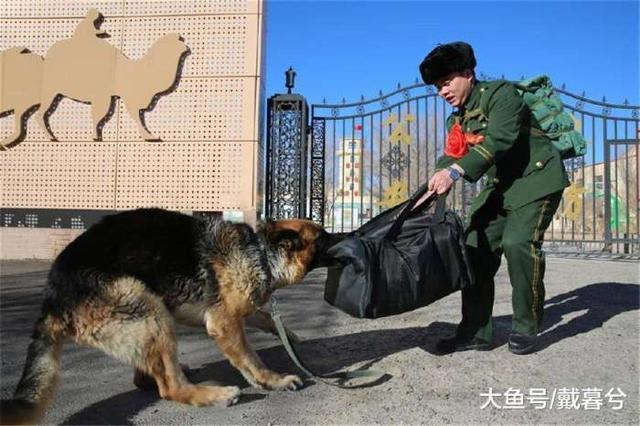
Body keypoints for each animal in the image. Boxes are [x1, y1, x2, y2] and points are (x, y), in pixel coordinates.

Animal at [0, 208, 340, 424]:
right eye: (323, 238)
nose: (348, 234)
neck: (260, 253)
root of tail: (53, 298)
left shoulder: (230, 310)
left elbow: (263, 314)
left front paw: (289, 336)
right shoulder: (224, 323)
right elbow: (251, 360)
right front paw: (274, 380)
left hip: (150, 316)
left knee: (146, 377)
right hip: (147, 307)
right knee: (170, 388)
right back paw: (214, 395)